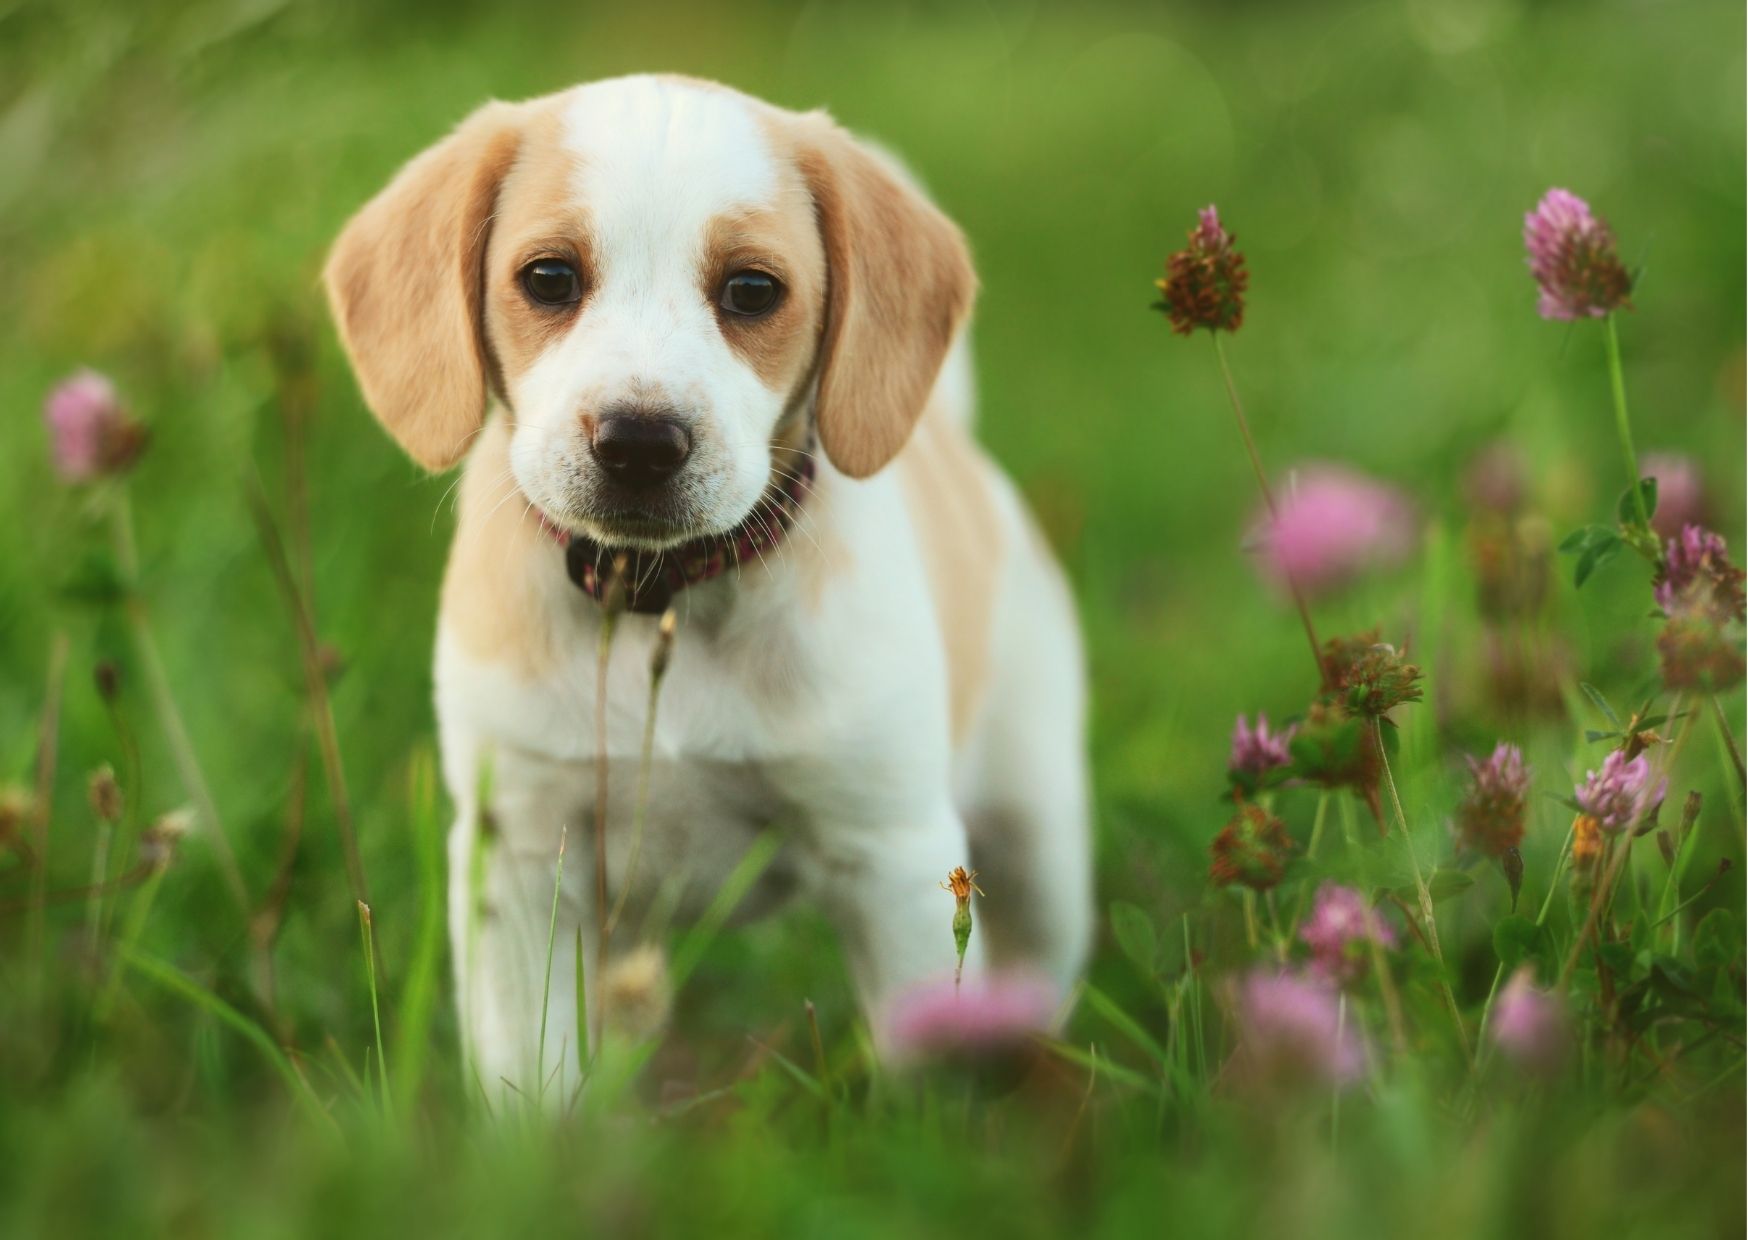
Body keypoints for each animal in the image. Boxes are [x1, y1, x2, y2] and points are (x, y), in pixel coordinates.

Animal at [325, 72, 1090, 1091]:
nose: (639, 443)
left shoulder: (894, 856)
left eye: (752, 290)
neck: (663, 599)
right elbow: (533, 1078)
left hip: (1037, 833)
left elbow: (922, 1064)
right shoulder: (519, 862)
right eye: (549, 278)